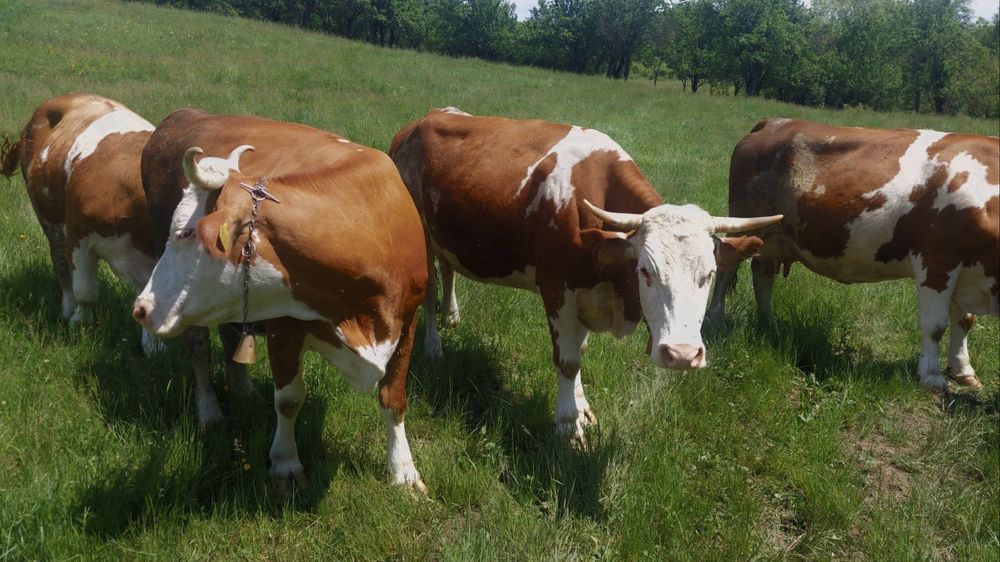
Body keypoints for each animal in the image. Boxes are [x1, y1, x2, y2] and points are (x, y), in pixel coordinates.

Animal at [0, 93, 163, 353]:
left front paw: (154, 347)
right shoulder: (79, 237)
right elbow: (85, 292)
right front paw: (80, 324)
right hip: (50, 221)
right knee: (61, 266)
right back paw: (68, 308)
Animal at [133, 109, 429, 490]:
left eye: (184, 232)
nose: (142, 307)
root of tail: (187, 113)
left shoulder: (407, 320)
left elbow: (394, 398)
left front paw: (403, 470)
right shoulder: (283, 329)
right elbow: (288, 400)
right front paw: (286, 464)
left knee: (231, 334)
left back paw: (243, 390)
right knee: (198, 348)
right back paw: (209, 410)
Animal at [389, 108, 783, 443]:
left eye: (709, 274)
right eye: (646, 270)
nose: (683, 354)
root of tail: (421, 121)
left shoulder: (585, 295)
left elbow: (579, 350)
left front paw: (582, 409)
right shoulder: (557, 290)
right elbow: (568, 360)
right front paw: (567, 425)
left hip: (444, 235)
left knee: (448, 269)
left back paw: (452, 315)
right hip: (421, 237)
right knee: (429, 291)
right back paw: (434, 344)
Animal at [707, 117, 999, 395]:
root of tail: (774, 122)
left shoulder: (966, 269)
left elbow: (964, 320)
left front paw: (963, 370)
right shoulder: (937, 259)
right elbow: (934, 325)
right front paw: (932, 377)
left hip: (774, 237)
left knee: (762, 273)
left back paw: (769, 324)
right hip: (746, 220)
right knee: (725, 269)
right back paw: (716, 320)